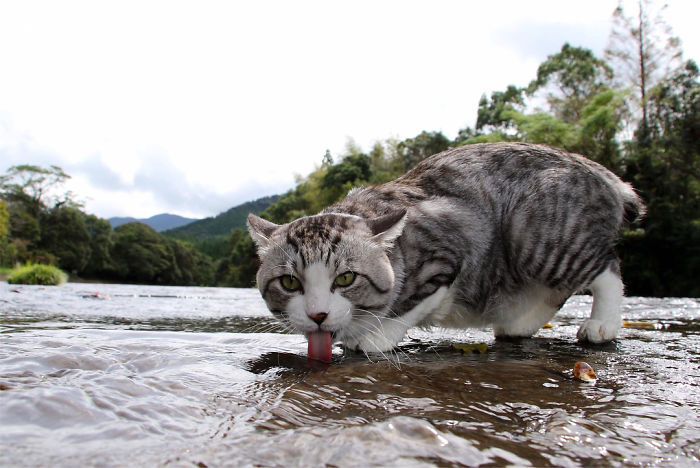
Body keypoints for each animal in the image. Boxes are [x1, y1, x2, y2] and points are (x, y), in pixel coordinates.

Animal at [246, 143, 644, 354]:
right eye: (290, 283)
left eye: (345, 279)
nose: (317, 315)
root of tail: (602, 173)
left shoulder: (450, 253)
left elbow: (409, 306)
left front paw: (375, 337)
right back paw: (519, 323)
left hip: (535, 234)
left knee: (607, 267)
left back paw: (603, 324)